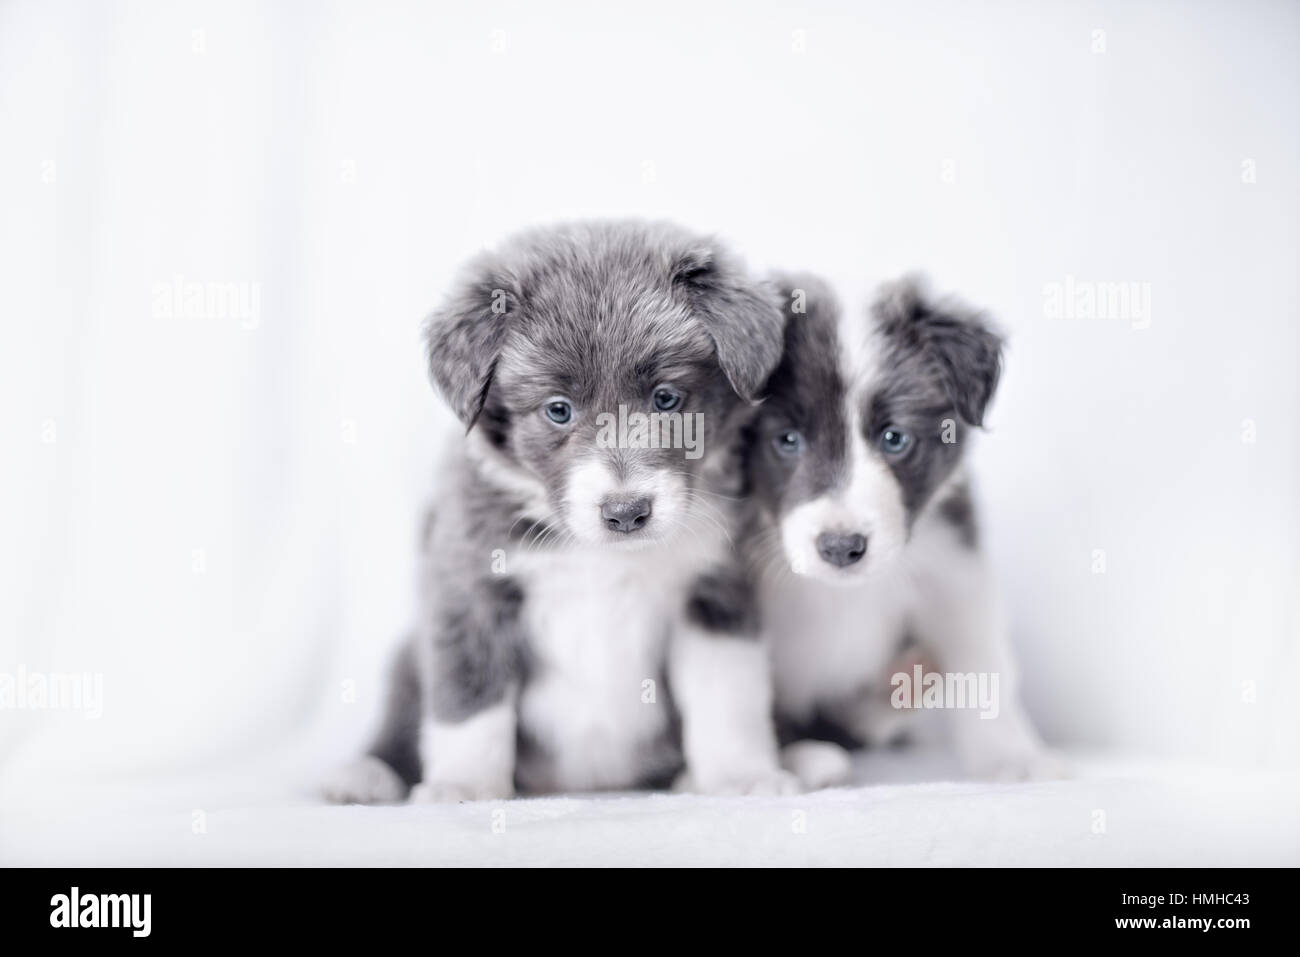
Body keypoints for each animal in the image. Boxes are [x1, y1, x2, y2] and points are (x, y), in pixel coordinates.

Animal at [322, 222, 800, 800]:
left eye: (667, 398)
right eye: (558, 409)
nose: (625, 512)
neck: (603, 555)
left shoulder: (715, 593)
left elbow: (727, 701)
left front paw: (742, 776)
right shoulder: (470, 592)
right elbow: (470, 705)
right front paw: (464, 787)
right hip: (406, 660)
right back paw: (363, 774)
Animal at [748, 273, 1060, 780]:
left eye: (895, 439)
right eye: (787, 440)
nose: (841, 547)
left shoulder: (955, 573)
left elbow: (984, 664)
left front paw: (1014, 758)